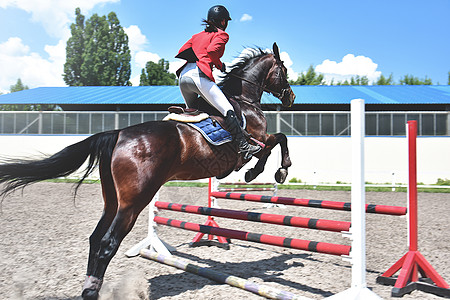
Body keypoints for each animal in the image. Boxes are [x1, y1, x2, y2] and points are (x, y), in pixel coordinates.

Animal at [0, 42, 296, 300]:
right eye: (283, 69)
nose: (291, 97)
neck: (243, 100)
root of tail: (119, 133)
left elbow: (276, 141)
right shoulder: (257, 140)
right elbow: (277, 141)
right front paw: (270, 171)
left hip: (113, 201)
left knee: (96, 238)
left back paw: (89, 287)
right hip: (134, 202)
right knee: (107, 243)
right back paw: (93, 292)